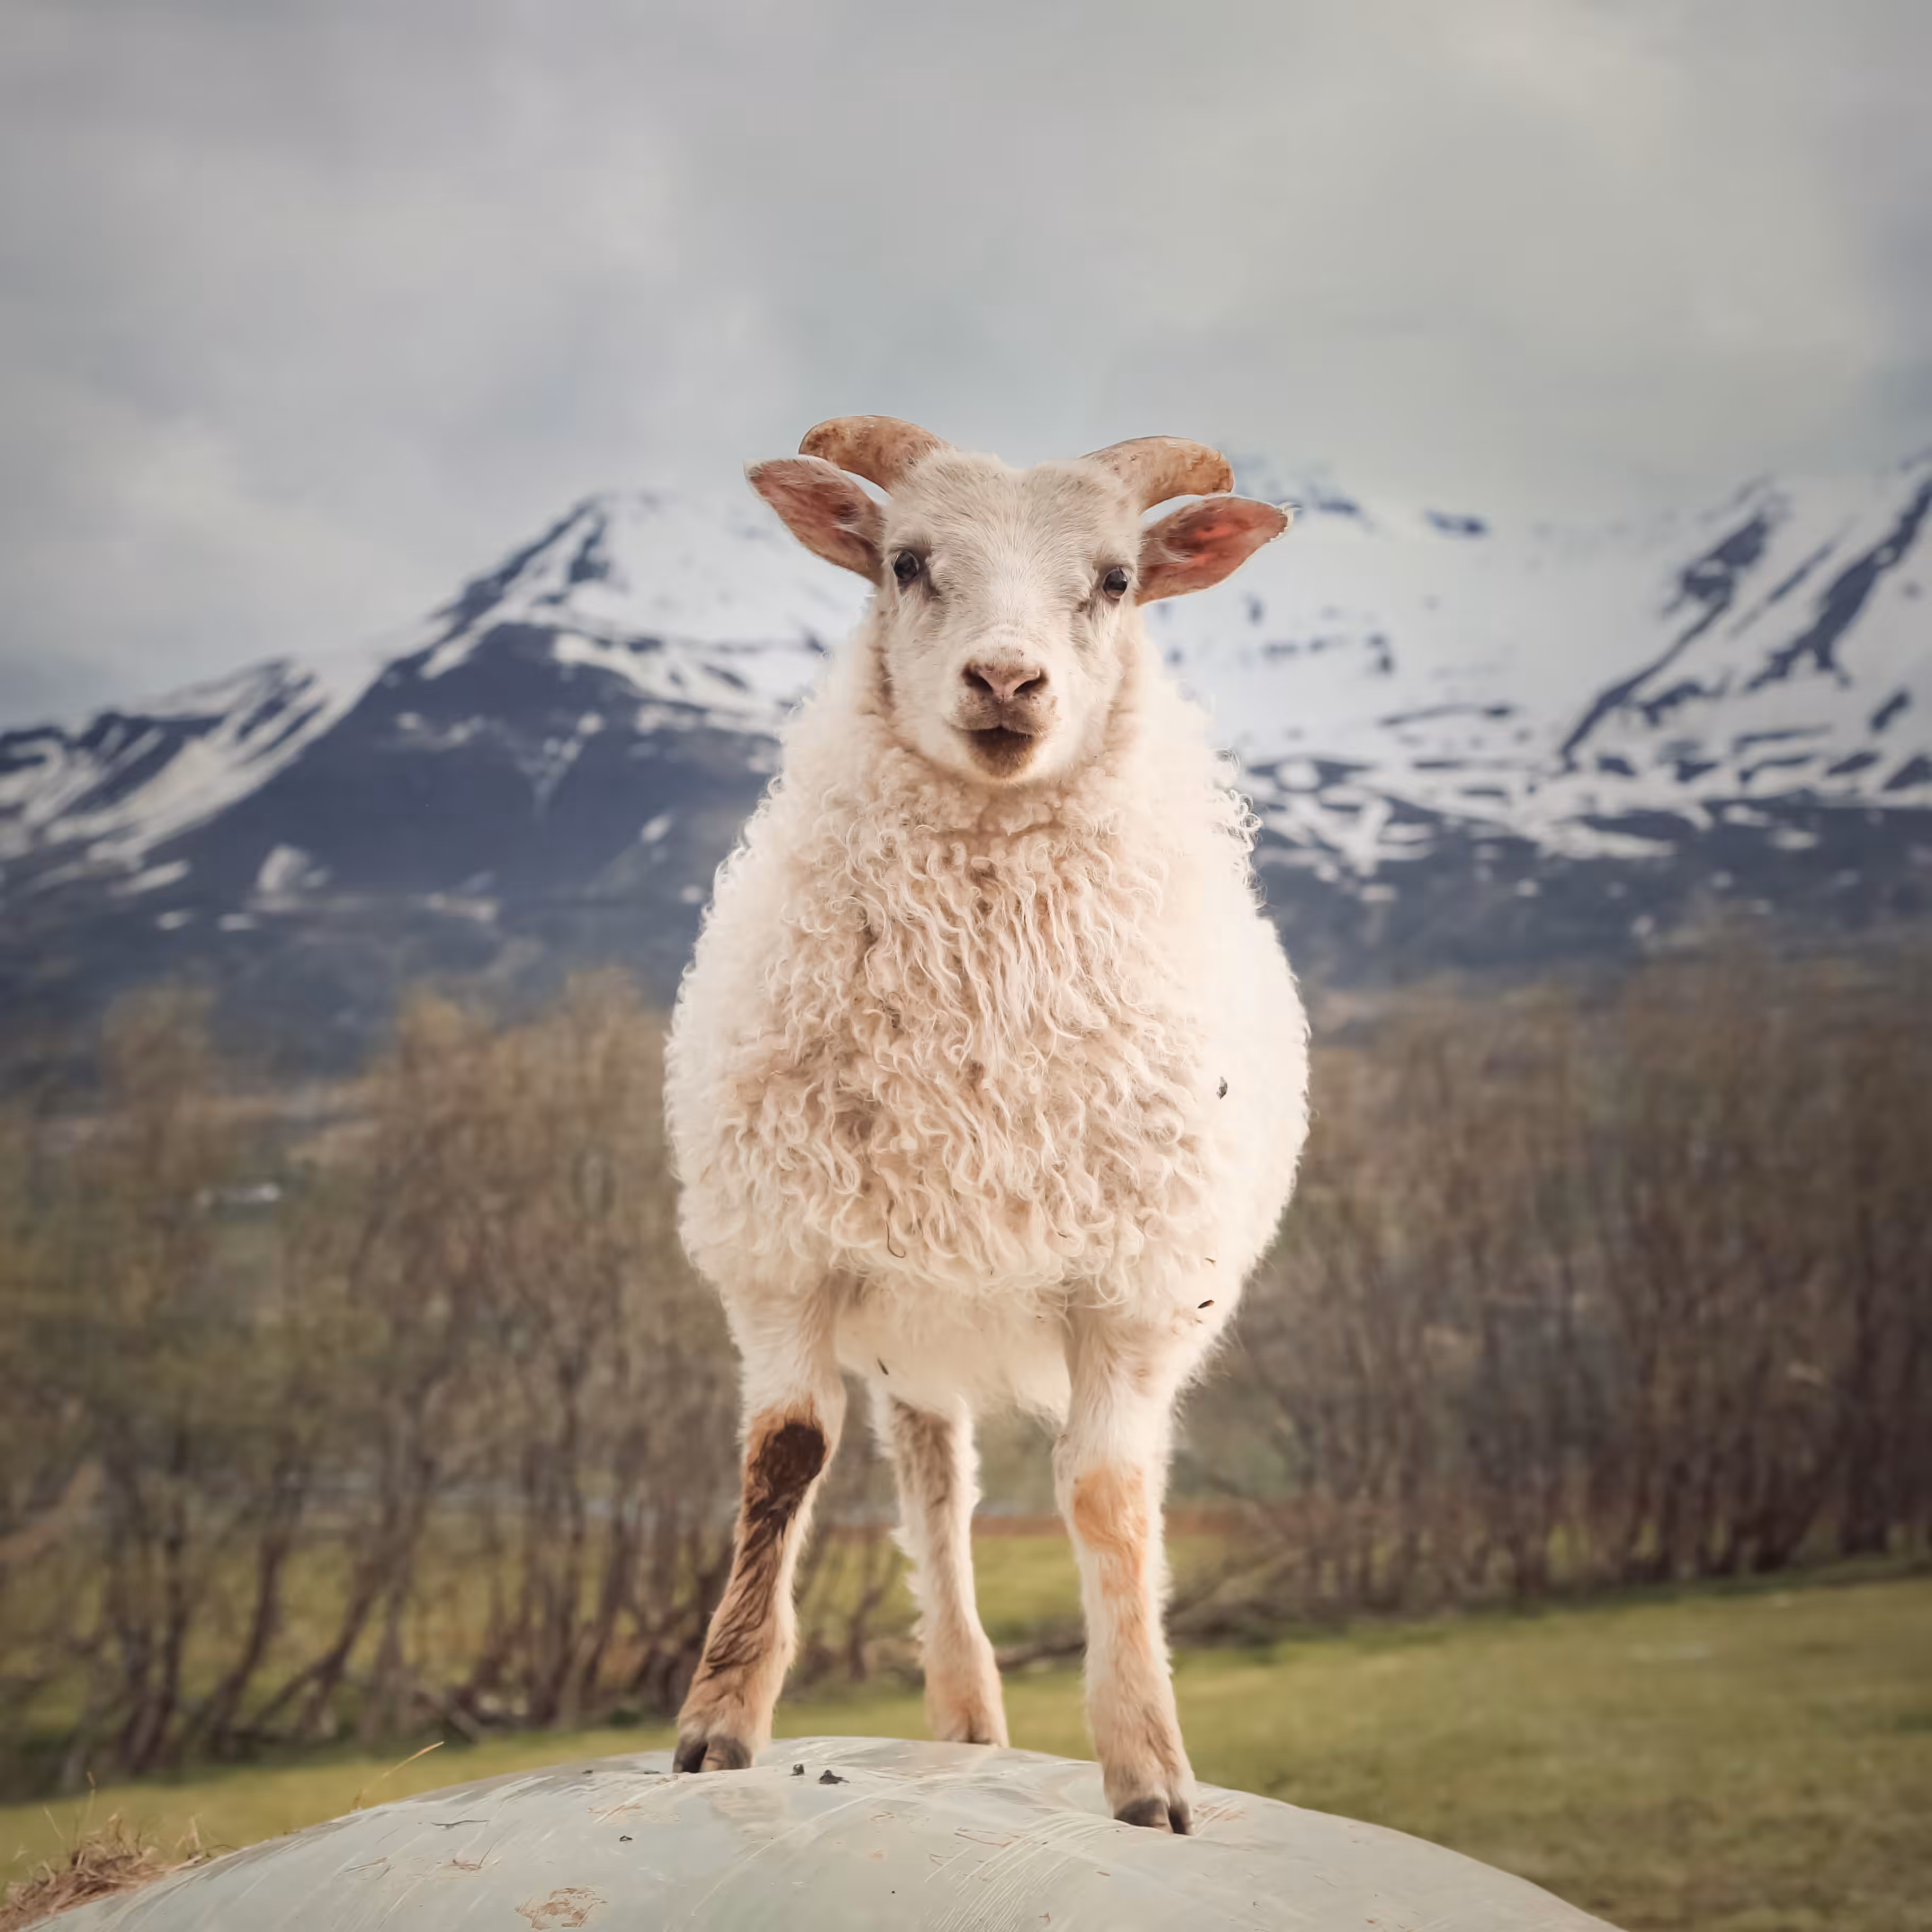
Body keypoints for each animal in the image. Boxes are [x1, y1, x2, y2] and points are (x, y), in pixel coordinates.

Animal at [665, 417, 1309, 1833]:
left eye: (1117, 580)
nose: (1007, 680)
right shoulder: (786, 1250)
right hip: (911, 1302)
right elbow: (784, 1458)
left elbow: (1109, 1498)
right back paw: (963, 1716)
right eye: (905, 562)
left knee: (954, 1483)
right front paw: (718, 1722)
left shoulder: (1136, 1286)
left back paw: (975, 1726)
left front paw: (1149, 1770)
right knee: (934, 1484)